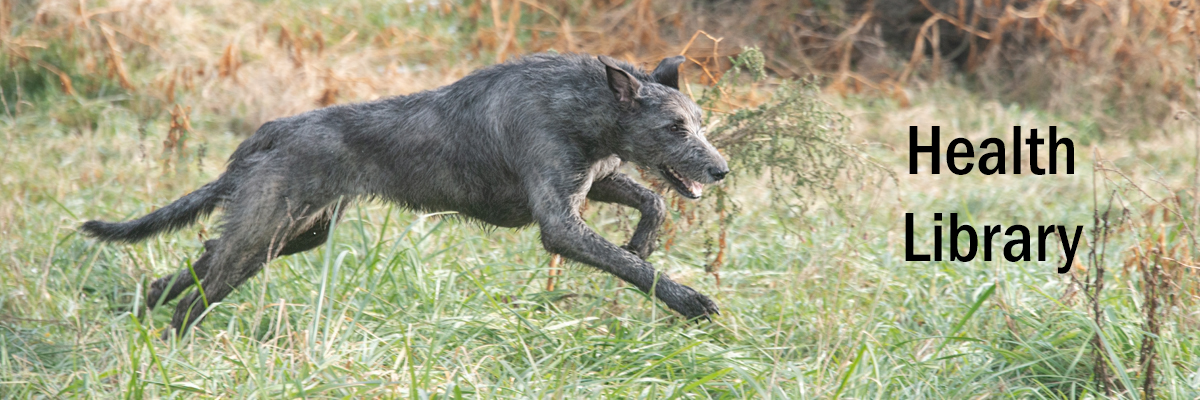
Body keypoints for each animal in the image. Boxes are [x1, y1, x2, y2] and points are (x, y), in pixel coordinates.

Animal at [82, 52, 729, 336]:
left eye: (700, 122)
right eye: (676, 128)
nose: (721, 169)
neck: (585, 104)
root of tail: (271, 131)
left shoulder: (591, 184)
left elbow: (653, 204)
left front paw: (644, 241)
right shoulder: (559, 222)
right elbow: (630, 264)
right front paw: (689, 300)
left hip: (291, 235)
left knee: (195, 264)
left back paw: (148, 303)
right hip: (265, 234)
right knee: (195, 297)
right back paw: (169, 346)